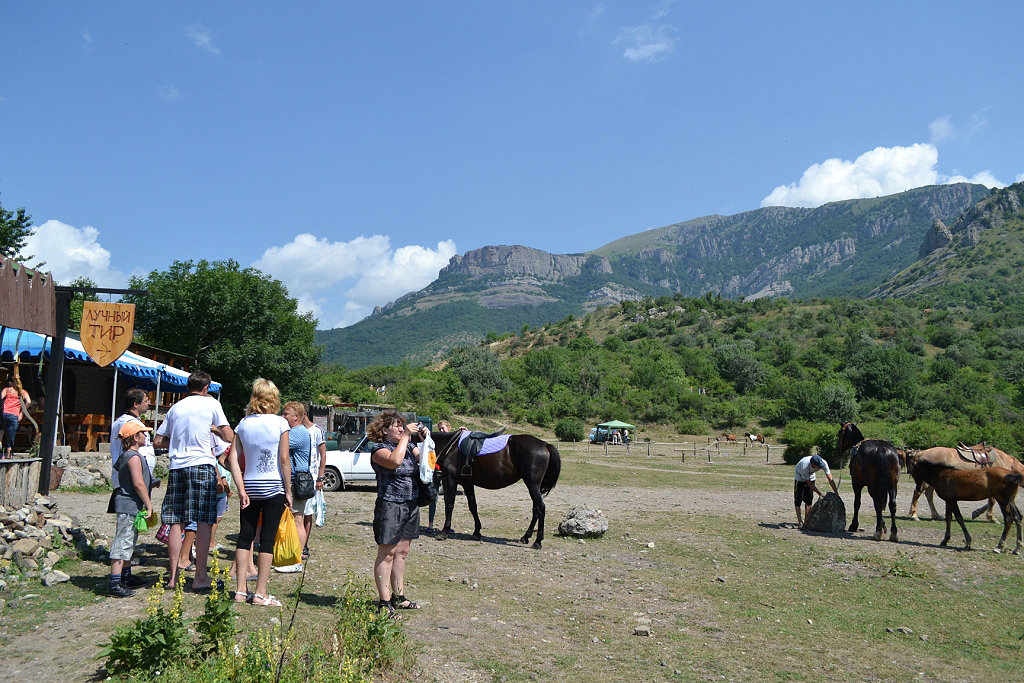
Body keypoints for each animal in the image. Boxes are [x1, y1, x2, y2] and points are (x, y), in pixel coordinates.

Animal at [430, 432, 565, 548]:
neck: (449, 447)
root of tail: (545, 444)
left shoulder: (450, 480)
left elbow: (449, 505)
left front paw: (444, 532)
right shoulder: (467, 483)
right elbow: (473, 506)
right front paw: (477, 531)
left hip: (532, 485)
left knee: (540, 508)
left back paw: (537, 541)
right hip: (533, 486)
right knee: (536, 509)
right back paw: (526, 537)